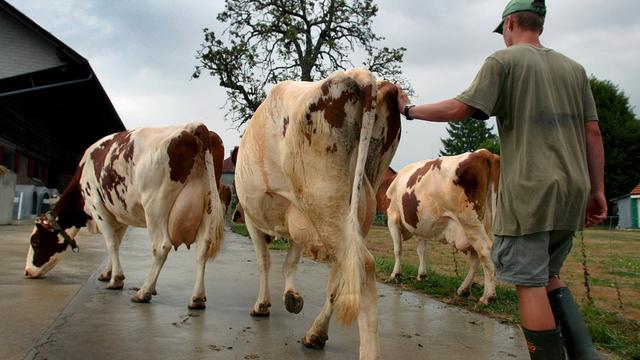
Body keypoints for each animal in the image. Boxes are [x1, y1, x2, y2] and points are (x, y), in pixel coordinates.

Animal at [25, 122, 225, 308]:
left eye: (35, 241)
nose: (27, 271)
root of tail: (193, 126)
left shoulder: (98, 207)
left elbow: (111, 243)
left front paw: (116, 279)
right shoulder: (119, 214)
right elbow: (117, 242)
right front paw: (107, 273)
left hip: (155, 207)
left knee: (161, 246)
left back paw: (144, 291)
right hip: (208, 206)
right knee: (202, 248)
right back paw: (197, 298)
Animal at [235, 68, 400, 360]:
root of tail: (358, 75)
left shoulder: (252, 218)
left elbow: (264, 260)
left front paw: (262, 305)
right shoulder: (297, 220)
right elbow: (290, 261)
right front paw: (291, 297)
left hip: (322, 201)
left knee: (363, 266)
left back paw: (367, 352)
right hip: (351, 210)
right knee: (342, 272)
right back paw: (316, 334)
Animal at [384, 149, 500, 304]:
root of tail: (483, 152)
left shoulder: (393, 217)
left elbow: (398, 249)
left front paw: (395, 274)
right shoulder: (421, 226)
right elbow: (421, 250)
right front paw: (422, 275)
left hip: (470, 221)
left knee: (485, 251)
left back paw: (488, 296)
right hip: (484, 223)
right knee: (476, 256)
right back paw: (464, 289)